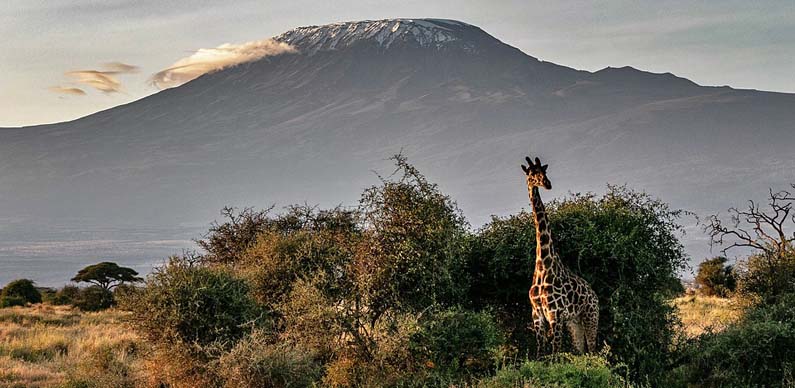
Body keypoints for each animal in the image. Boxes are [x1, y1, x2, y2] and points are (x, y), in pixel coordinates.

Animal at [524, 155, 596, 354]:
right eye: (532, 174)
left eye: (544, 171)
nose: (547, 184)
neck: (543, 264)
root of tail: (595, 295)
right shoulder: (537, 314)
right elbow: (540, 353)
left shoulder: (555, 313)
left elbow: (555, 351)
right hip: (574, 323)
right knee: (581, 352)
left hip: (590, 317)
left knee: (594, 351)